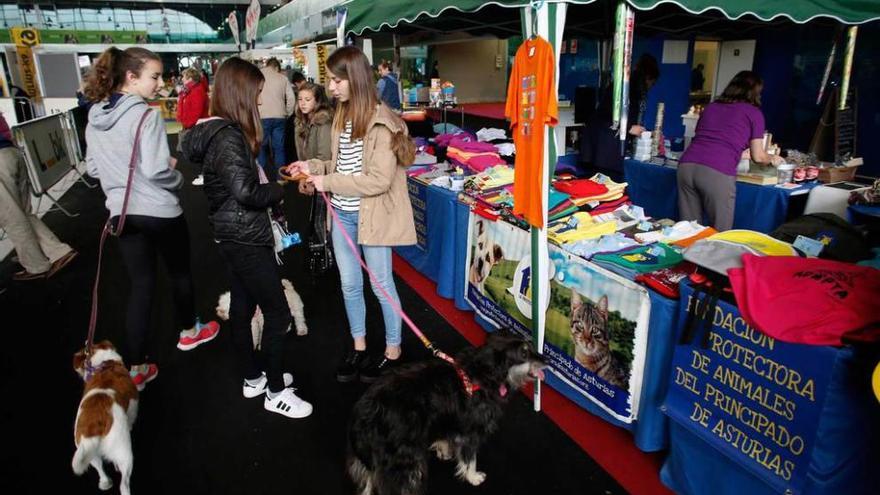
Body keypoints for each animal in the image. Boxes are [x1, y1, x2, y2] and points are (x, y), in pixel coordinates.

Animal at [72, 340, 138, 495]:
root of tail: (93, 428)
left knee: (99, 467)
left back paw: (105, 482)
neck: (104, 365)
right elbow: (132, 416)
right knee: (124, 483)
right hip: (124, 451)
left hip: (88, 452)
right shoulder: (133, 404)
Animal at [348, 332, 548, 495]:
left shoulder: (450, 420)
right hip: (404, 461)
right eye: (524, 354)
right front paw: (473, 477)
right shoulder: (473, 431)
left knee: (367, 482)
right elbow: (470, 458)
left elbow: (447, 436)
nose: (547, 360)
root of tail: (367, 413)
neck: (482, 374)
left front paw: (443, 449)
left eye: (530, 347)